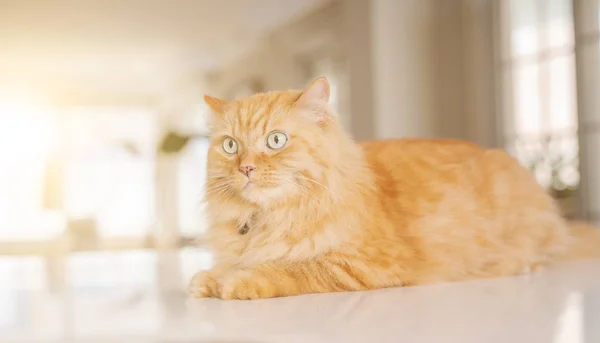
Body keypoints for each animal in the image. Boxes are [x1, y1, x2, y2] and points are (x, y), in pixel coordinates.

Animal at [191, 76, 600, 300]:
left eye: (276, 141)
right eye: (230, 146)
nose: (245, 167)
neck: (266, 218)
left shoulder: (363, 264)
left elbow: (290, 269)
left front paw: (238, 280)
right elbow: (225, 265)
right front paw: (210, 278)